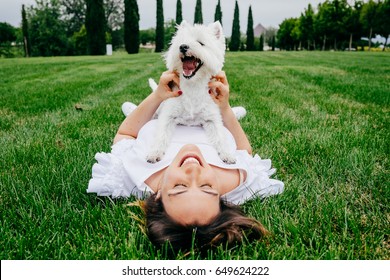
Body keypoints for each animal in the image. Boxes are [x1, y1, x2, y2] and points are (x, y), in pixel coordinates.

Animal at [145, 20, 235, 164]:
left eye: (201, 43)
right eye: (181, 41)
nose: (183, 46)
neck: (193, 86)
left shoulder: (212, 118)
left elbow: (220, 136)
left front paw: (227, 154)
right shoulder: (168, 115)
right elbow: (161, 134)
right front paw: (154, 153)